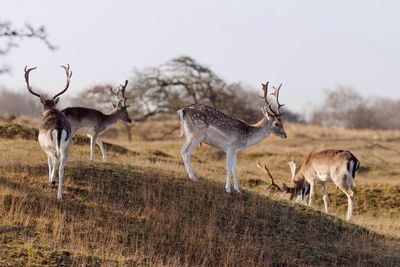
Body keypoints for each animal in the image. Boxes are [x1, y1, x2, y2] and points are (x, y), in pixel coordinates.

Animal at [24, 64, 72, 201]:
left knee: (55, 161)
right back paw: (59, 196)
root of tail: (59, 127)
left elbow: (49, 163)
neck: (51, 111)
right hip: (66, 148)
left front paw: (50, 180)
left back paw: (52, 182)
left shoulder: (45, 148)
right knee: (61, 169)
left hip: (51, 147)